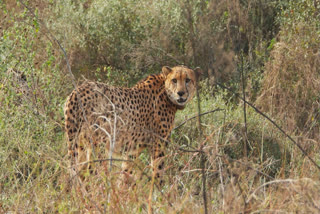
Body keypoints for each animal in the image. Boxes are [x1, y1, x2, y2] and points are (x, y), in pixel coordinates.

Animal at [63, 65, 201, 186]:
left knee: (80, 173)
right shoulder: (158, 144)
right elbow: (158, 171)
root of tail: (77, 91)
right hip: (98, 145)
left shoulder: (133, 149)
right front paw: (161, 194)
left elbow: (126, 172)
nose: (181, 93)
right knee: (92, 173)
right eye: (174, 80)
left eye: (187, 80)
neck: (166, 93)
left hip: (79, 144)